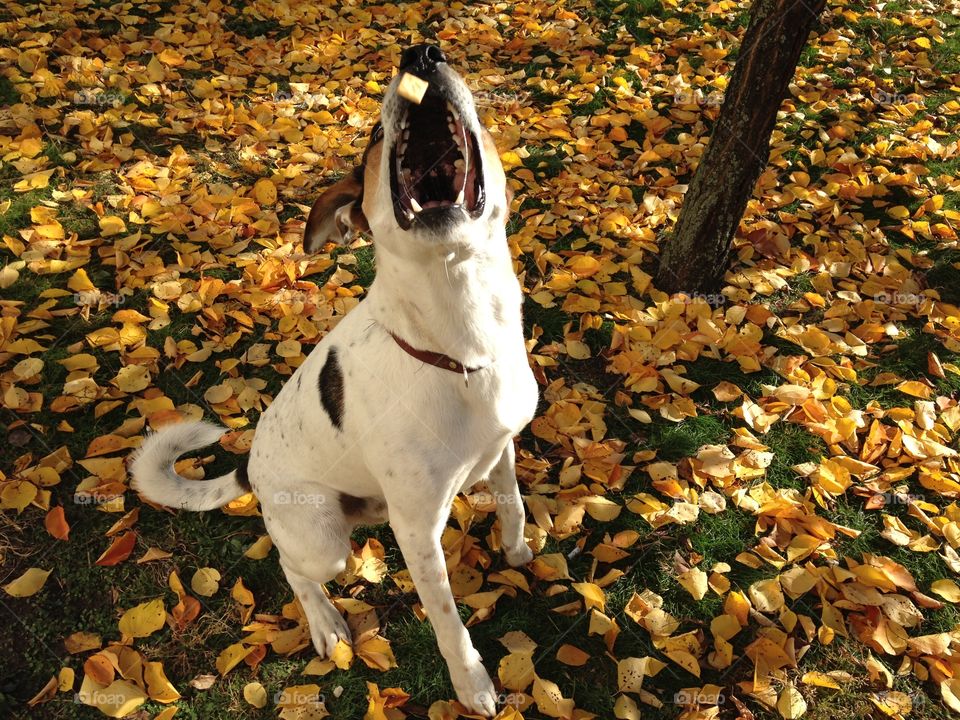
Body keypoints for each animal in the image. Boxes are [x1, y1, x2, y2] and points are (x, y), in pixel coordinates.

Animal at [131, 46, 540, 720]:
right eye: (374, 135)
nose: (422, 53)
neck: (461, 344)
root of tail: (250, 469)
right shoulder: (416, 529)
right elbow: (450, 624)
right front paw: (472, 685)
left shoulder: (502, 446)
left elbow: (513, 503)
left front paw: (517, 549)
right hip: (322, 537)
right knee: (296, 570)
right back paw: (324, 623)